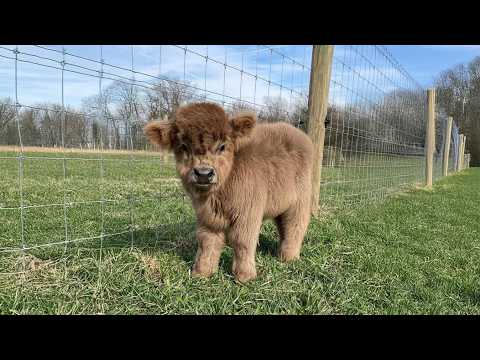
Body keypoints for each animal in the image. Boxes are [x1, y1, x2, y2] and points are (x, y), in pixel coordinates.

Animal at [144, 102, 314, 282]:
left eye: (222, 146)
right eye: (183, 146)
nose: (203, 173)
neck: (218, 196)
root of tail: (296, 132)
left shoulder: (247, 214)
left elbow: (242, 241)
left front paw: (244, 276)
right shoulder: (208, 218)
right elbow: (207, 242)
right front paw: (202, 272)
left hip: (300, 200)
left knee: (295, 225)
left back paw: (289, 257)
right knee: (283, 226)